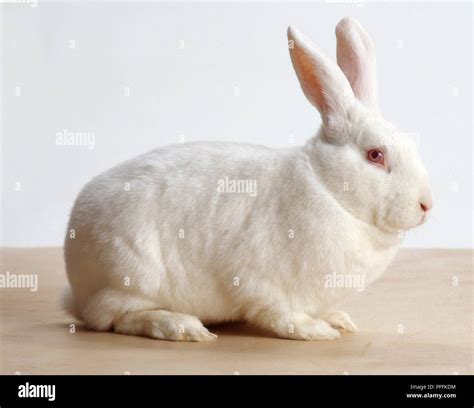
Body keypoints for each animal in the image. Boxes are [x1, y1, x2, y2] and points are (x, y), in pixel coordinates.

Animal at [64, 17, 434, 340]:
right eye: (376, 155)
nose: (426, 205)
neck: (328, 188)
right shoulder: (265, 283)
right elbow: (280, 315)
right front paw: (315, 330)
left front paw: (338, 320)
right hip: (132, 275)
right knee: (116, 318)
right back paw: (182, 327)